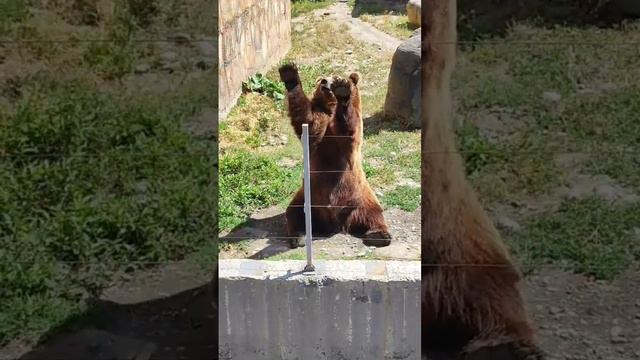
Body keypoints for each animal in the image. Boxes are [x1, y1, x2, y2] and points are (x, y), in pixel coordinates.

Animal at [278, 63, 392, 249]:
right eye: (321, 79)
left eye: (334, 77)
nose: (325, 82)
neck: (331, 109)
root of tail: (336, 225)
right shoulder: (318, 130)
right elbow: (306, 120)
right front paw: (290, 75)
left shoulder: (349, 138)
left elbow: (348, 128)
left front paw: (343, 92)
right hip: (307, 199)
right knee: (294, 213)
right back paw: (298, 236)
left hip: (360, 198)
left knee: (374, 214)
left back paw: (378, 236)